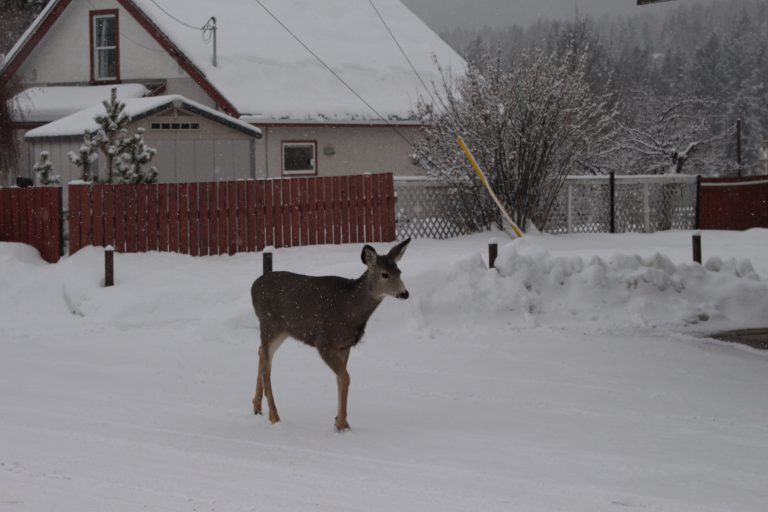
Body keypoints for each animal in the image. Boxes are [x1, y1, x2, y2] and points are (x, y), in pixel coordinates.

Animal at [250, 238, 408, 430]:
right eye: (385, 274)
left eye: (399, 272)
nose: (404, 293)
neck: (350, 310)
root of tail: (254, 286)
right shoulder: (324, 342)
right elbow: (346, 377)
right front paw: (341, 424)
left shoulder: (344, 345)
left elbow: (340, 379)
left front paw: (341, 421)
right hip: (270, 324)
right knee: (267, 367)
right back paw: (274, 416)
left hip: (280, 331)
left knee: (261, 353)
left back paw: (257, 406)